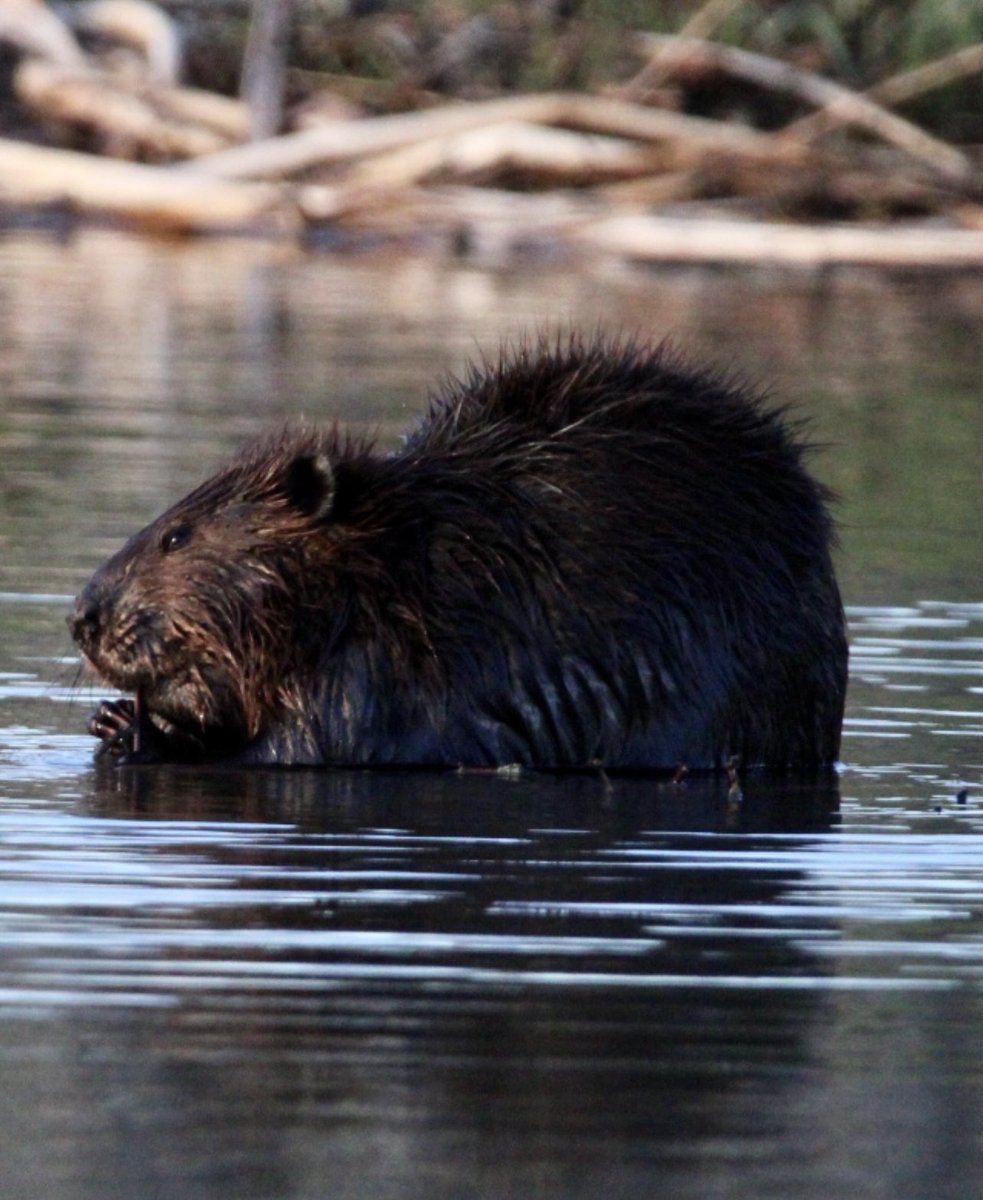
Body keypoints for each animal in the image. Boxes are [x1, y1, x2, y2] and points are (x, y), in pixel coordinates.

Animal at [69, 338, 849, 768]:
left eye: (178, 536)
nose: (83, 615)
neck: (397, 564)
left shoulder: (381, 663)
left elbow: (312, 749)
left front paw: (135, 732)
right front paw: (116, 718)